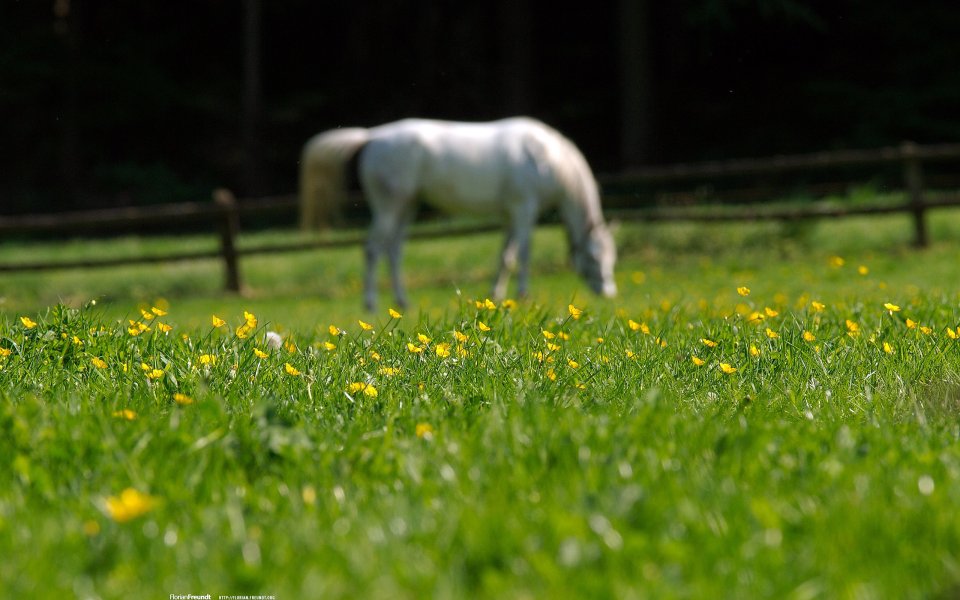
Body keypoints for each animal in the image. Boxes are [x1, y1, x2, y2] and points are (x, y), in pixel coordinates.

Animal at [299, 117, 617, 310]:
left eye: (612, 258)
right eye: (593, 257)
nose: (608, 292)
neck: (547, 158)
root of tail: (372, 136)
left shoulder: (510, 216)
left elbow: (506, 257)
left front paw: (496, 294)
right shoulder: (524, 207)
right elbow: (524, 253)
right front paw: (523, 293)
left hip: (407, 205)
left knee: (394, 250)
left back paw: (402, 301)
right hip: (389, 205)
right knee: (373, 248)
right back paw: (371, 303)